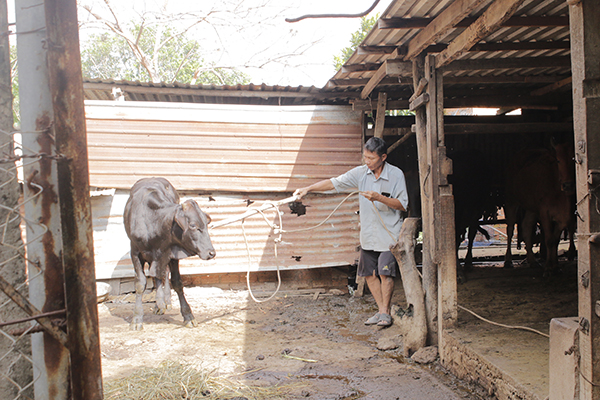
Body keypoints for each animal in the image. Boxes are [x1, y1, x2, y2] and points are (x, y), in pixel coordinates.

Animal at [122, 177, 216, 330]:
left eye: (206, 224)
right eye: (193, 225)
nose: (211, 252)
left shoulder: (172, 253)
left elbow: (177, 282)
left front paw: (188, 316)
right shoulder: (135, 253)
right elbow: (140, 284)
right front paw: (137, 318)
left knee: (163, 275)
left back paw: (163, 302)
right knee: (157, 276)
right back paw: (159, 304)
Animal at [502, 142, 576, 276]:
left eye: (573, 159)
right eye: (558, 160)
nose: (568, 185)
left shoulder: (562, 218)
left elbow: (555, 240)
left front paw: (555, 266)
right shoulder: (544, 213)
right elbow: (549, 240)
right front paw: (548, 268)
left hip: (531, 209)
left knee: (526, 226)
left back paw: (532, 260)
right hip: (511, 201)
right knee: (510, 229)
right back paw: (508, 260)